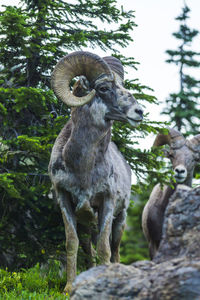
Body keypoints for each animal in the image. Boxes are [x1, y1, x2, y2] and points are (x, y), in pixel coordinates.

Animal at [48, 50, 144, 292]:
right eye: (103, 88)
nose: (139, 112)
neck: (83, 169)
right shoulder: (65, 201)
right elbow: (71, 244)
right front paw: (69, 288)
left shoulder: (107, 204)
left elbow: (104, 249)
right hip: (87, 226)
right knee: (88, 252)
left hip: (120, 221)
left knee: (115, 251)